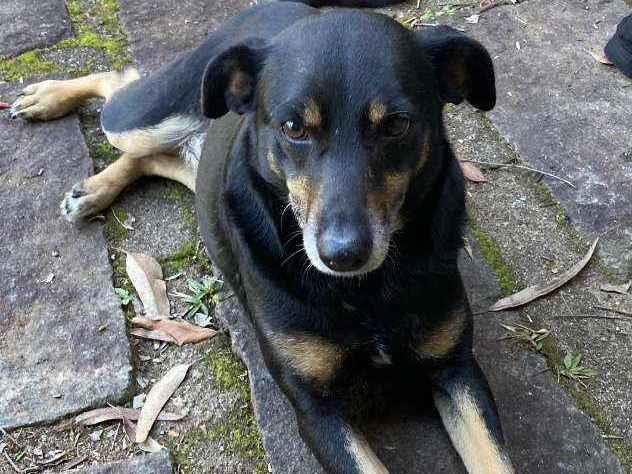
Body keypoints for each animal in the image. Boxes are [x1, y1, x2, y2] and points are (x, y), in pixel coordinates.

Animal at [9, 0, 513, 472]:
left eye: (396, 125)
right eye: (293, 127)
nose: (343, 254)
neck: (364, 291)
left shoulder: (458, 370)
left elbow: (495, 456)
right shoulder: (317, 411)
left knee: (153, 155)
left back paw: (91, 186)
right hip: (144, 115)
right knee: (119, 82)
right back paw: (47, 99)